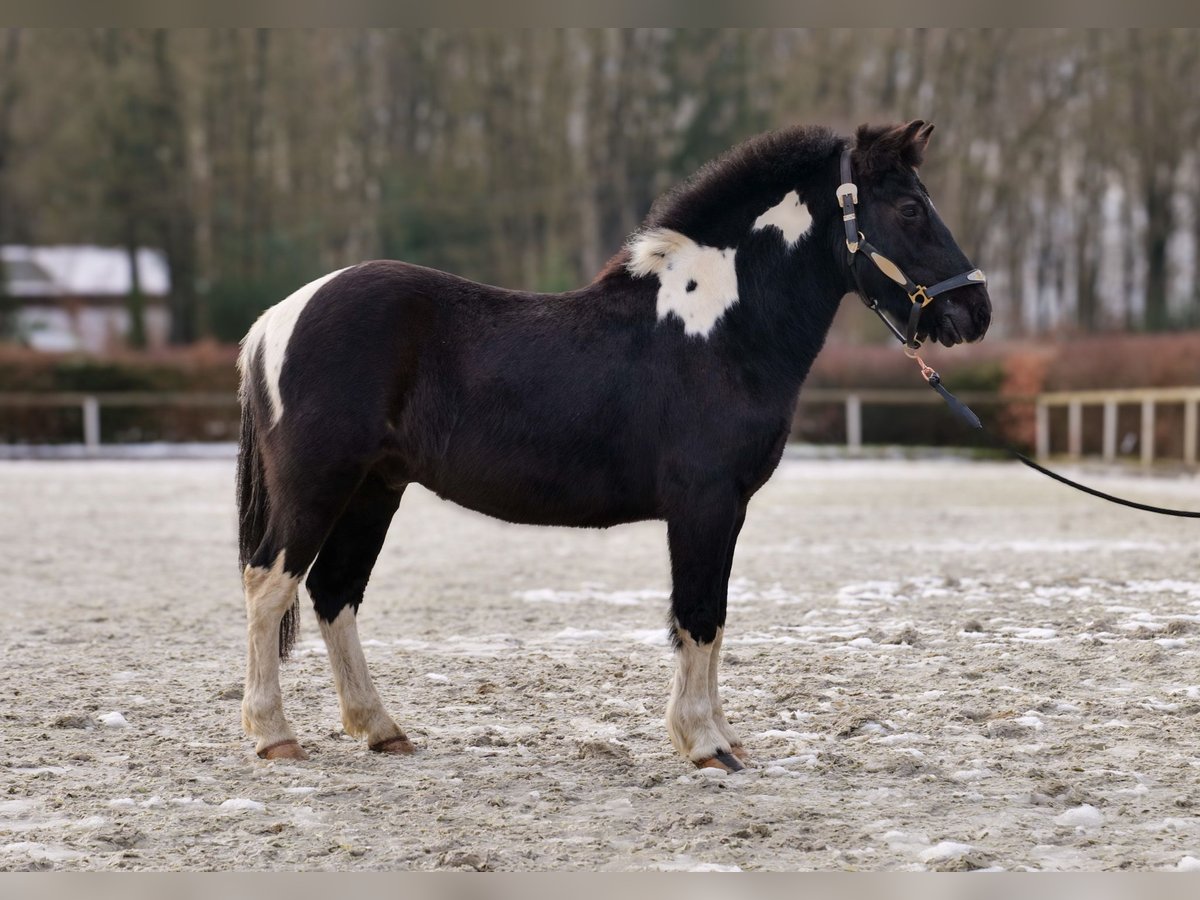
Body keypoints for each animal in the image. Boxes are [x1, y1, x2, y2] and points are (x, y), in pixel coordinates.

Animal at [236, 118, 993, 768]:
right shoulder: (703, 503)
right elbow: (698, 615)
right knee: (270, 585)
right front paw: (703, 744)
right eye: (910, 209)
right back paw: (274, 736)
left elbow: (714, 616)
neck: (715, 331)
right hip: (320, 486)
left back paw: (381, 729)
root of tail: (278, 317)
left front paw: (722, 738)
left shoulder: (728, 508)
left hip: (375, 490)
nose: (974, 312)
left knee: (335, 593)